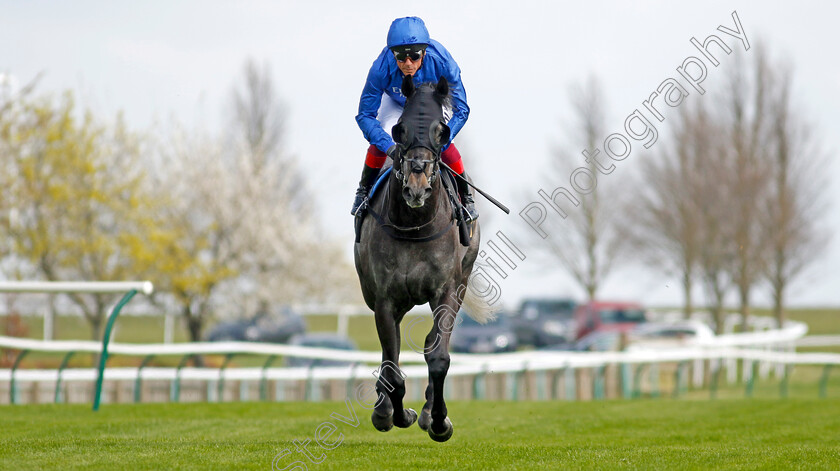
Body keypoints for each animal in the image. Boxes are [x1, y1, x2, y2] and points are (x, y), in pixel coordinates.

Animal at [352, 74, 486, 442]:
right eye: (399, 130)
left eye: (442, 132)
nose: (416, 187)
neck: (414, 226)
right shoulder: (384, 298)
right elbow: (392, 366)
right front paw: (394, 414)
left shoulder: (446, 290)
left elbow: (437, 355)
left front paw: (436, 420)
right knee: (391, 354)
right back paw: (384, 409)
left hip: (462, 282)